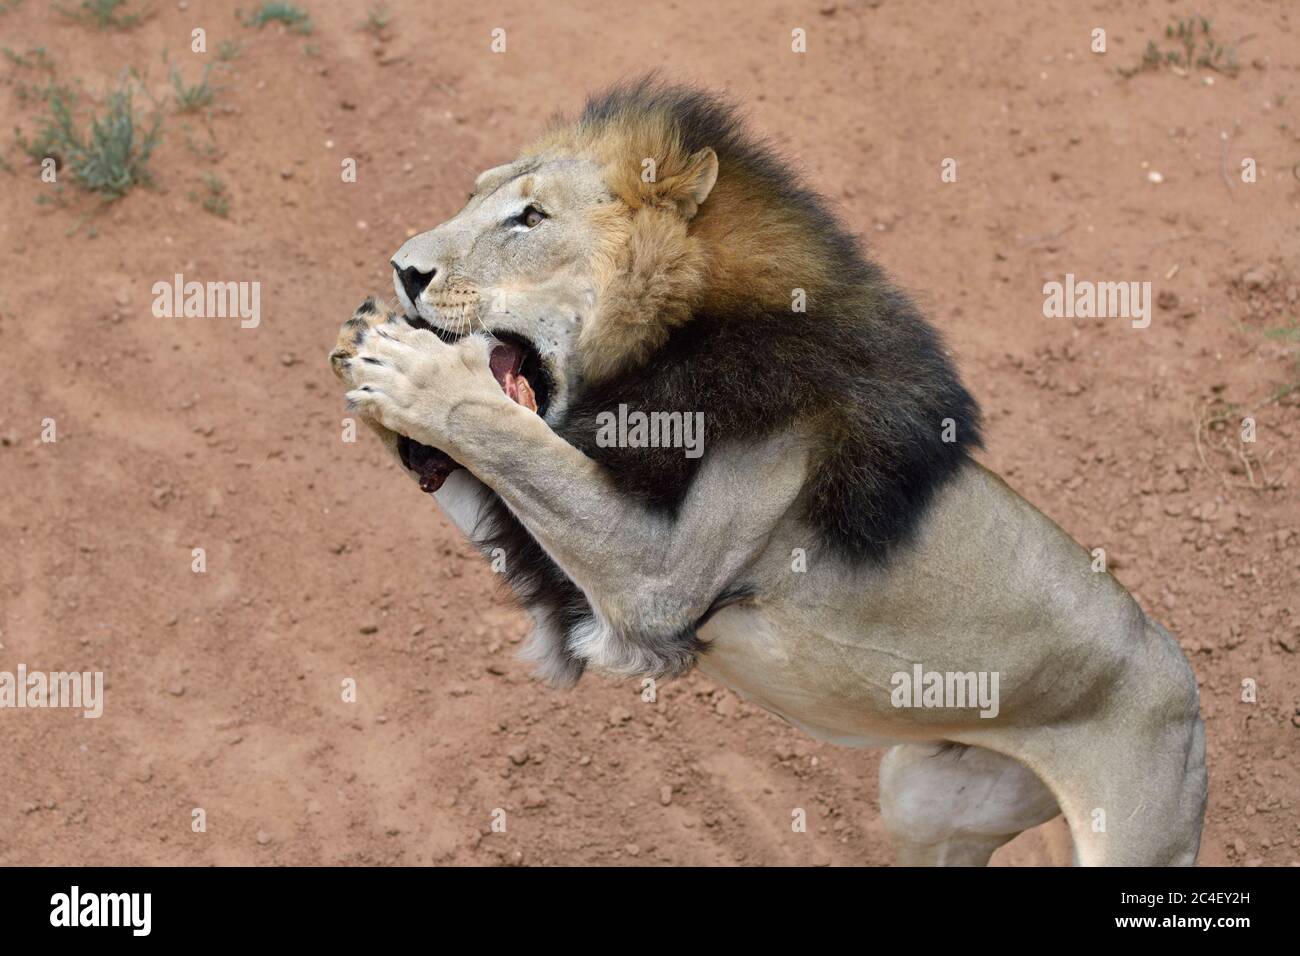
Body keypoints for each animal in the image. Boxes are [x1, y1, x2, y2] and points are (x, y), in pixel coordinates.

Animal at [331, 79, 1206, 866]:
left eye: (530, 217)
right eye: (472, 197)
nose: (403, 269)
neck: (659, 350)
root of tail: (1190, 700)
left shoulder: (658, 584)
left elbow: (509, 438)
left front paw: (416, 372)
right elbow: (498, 476)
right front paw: (362, 353)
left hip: (1139, 827)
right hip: (928, 797)